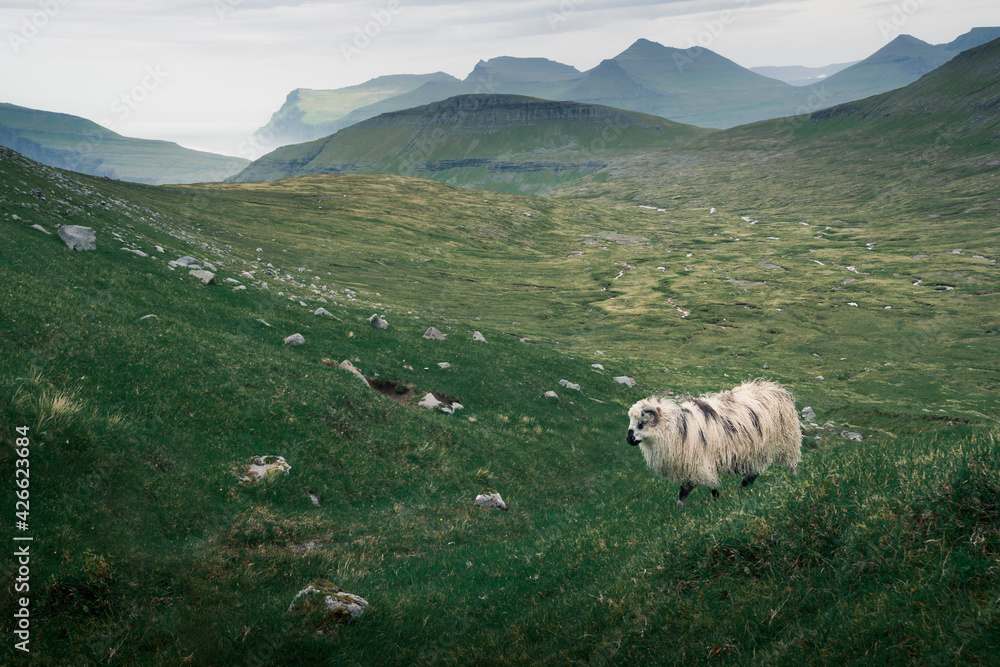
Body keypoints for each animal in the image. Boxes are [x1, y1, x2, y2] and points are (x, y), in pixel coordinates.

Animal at [626, 379, 801, 507]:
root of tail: (780, 390)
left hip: (787, 440)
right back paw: (743, 487)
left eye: (641, 423)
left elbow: (692, 487)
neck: (678, 427)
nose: (628, 439)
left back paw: (792, 479)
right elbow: (686, 489)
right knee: (756, 471)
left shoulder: (699, 462)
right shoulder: (693, 464)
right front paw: (680, 508)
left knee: (791, 462)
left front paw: (715, 498)